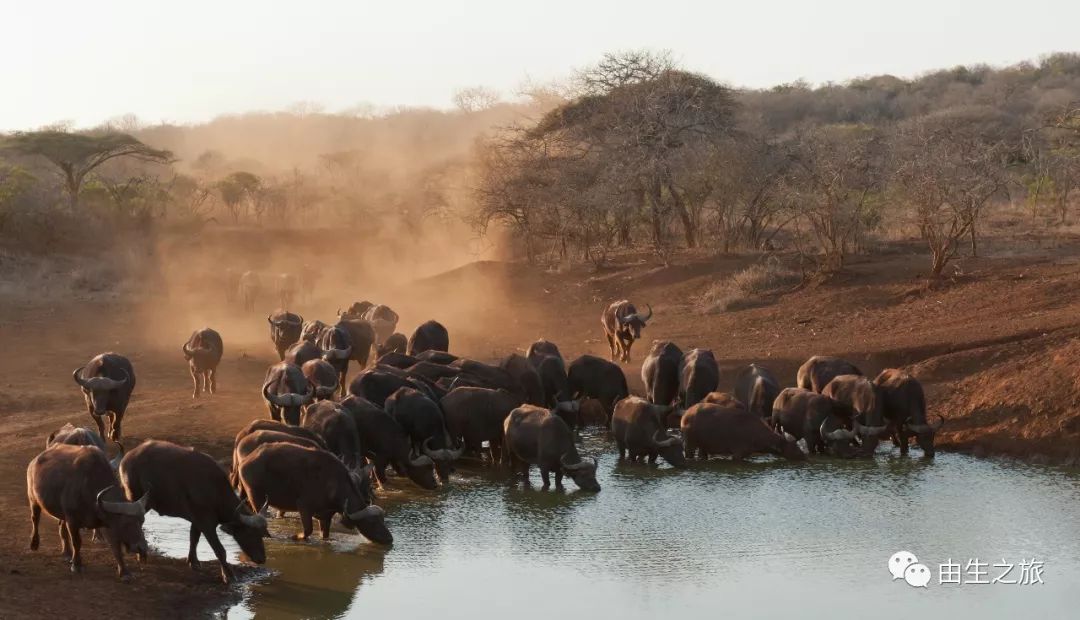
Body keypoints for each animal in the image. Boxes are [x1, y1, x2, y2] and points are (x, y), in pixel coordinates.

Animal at [27, 445, 149, 578]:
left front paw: (125, 572)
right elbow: (77, 542)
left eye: (142, 522)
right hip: (33, 499)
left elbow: (115, 547)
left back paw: (67, 553)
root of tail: (34, 462)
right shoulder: (72, 521)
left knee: (61, 527)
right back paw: (34, 544)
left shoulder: (106, 522)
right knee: (35, 519)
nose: (142, 548)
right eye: (126, 523)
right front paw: (77, 565)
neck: (88, 487)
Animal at [237, 445, 393, 546]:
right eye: (372, 522)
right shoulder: (304, 507)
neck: (333, 483)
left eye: (382, 521)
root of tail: (246, 461)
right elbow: (307, 530)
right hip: (256, 497)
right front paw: (295, 536)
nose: (389, 538)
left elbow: (325, 535)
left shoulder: (326, 516)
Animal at [678, 403, 807, 462]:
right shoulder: (738, 453)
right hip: (690, 443)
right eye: (794, 447)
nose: (804, 456)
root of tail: (685, 416)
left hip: (703, 446)